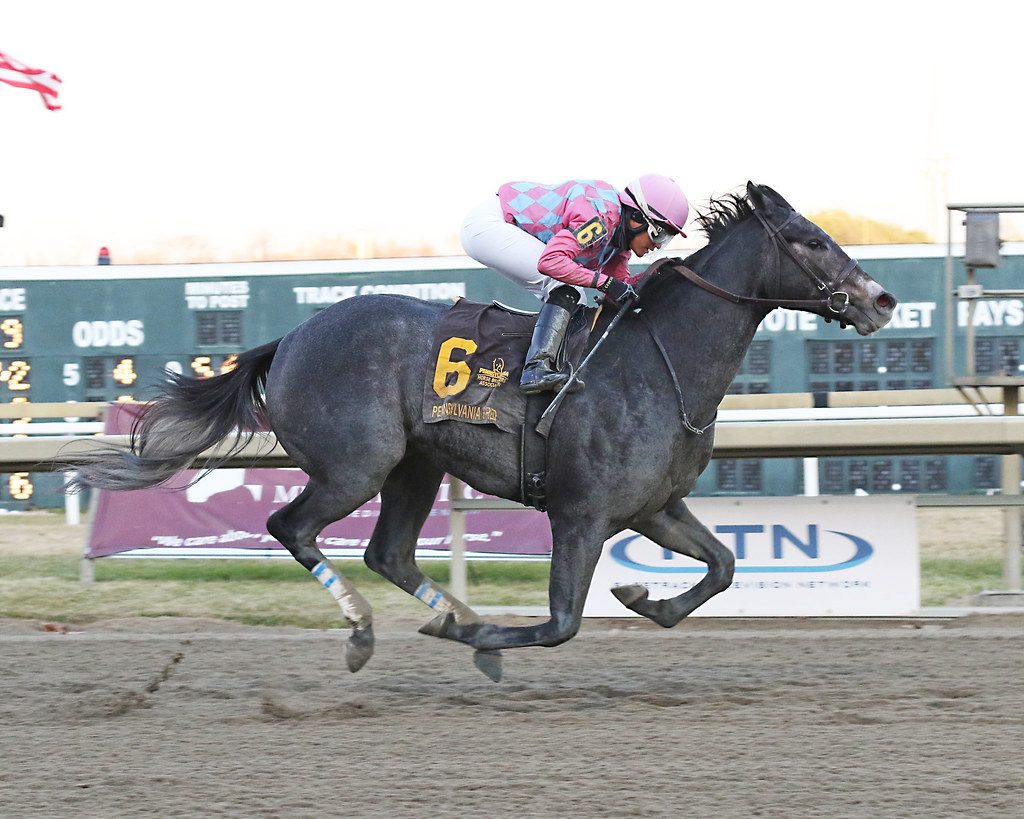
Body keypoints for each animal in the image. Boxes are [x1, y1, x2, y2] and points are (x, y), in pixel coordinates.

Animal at [64, 184, 897, 679]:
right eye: (812, 241)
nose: (882, 298)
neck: (660, 362)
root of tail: (291, 336)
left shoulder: (653, 506)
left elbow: (722, 565)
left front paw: (643, 597)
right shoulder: (581, 512)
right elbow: (560, 623)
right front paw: (493, 640)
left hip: (415, 465)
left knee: (388, 551)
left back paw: (451, 615)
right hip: (356, 465)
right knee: (292, 527)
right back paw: (372, 630)